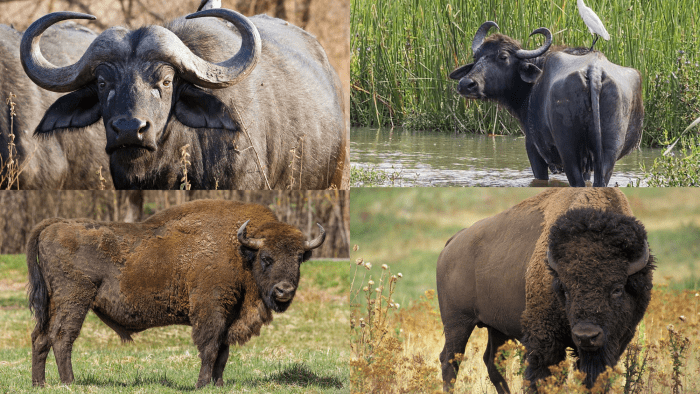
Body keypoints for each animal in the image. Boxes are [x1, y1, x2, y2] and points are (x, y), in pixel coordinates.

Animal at [24, 200, 326, 388]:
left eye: (299, 258)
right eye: (266, 258)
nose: (284, 290)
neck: (239, 251)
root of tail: (55, 225)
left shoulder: (229, 316)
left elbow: (223, 352)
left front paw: (219, 384)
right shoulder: (211, 310)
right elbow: (210, 348)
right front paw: (201, 384)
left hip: (54, 302)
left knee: (40, 337)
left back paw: (39, 384)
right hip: (74, 300)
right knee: (62, 338)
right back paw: (69, 382)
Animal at [438, 189, 656, 392]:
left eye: (617, 289)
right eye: (565, 289)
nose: (586, 335)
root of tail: (452, 243)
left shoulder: (616, 341)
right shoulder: (544, 340)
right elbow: (542, 377)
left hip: (496, 326)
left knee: (493, 362)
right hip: (457, 322)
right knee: (450, 360)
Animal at [452, 21, 644, 188]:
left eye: (503, 57)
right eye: (476, 56)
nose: (466, 84)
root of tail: (594, 70)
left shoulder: (533, 148)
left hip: (568, 150)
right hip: (607, 153)